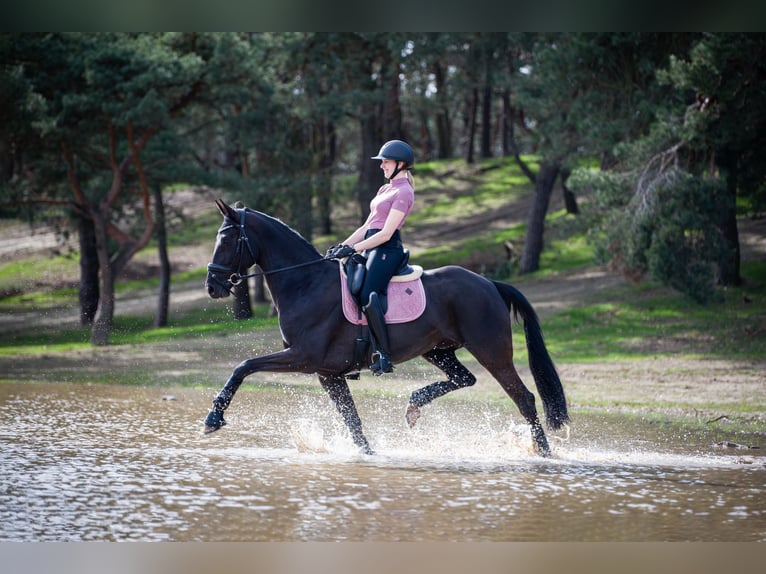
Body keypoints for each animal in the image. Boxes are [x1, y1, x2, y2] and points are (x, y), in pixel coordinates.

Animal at [204, 201, 568, 460]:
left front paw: (213, 419)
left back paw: (544, 452)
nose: (212, 286)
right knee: (464, 378)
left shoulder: (303, 357)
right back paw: (414, 405)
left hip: (491, 351)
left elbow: (243, 367)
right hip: (437, 350)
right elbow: (351, 419)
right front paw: (368, 454)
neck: (306, 283)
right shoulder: (327, 373)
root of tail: (489, 283)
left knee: (524, 398)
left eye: (226, 238)